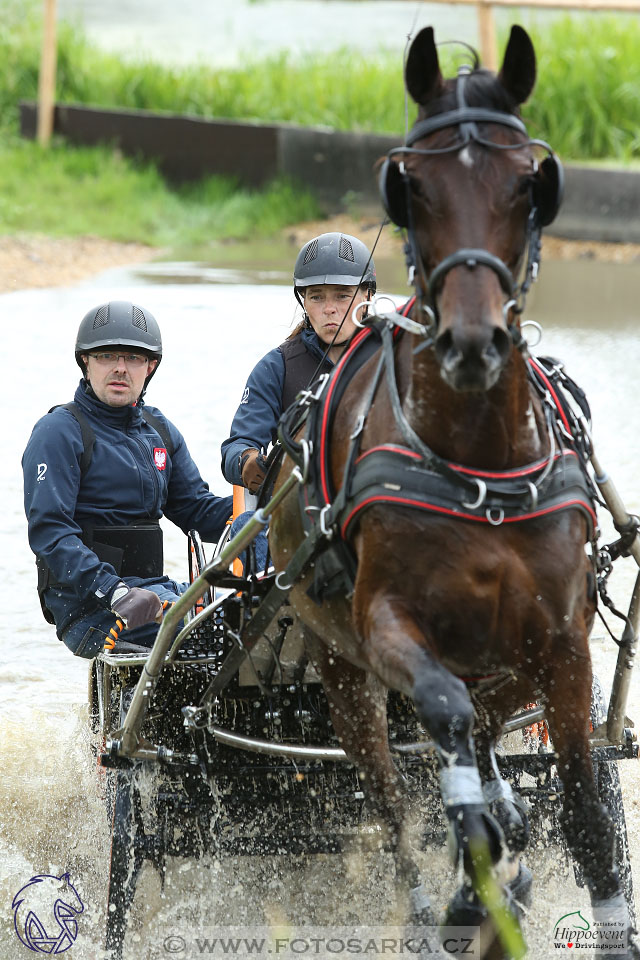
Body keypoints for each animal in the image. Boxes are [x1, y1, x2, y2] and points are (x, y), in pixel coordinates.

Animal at [268, 24, 636, 960]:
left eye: (529, 184)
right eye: (412, 187)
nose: (475, 342)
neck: (478, 466)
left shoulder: (561, 644)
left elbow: (587, 815)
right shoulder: (384, 623)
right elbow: (444, 722)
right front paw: (475, 869)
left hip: (502, 661)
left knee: (492, 734)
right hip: (340, 669)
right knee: (400, 801)